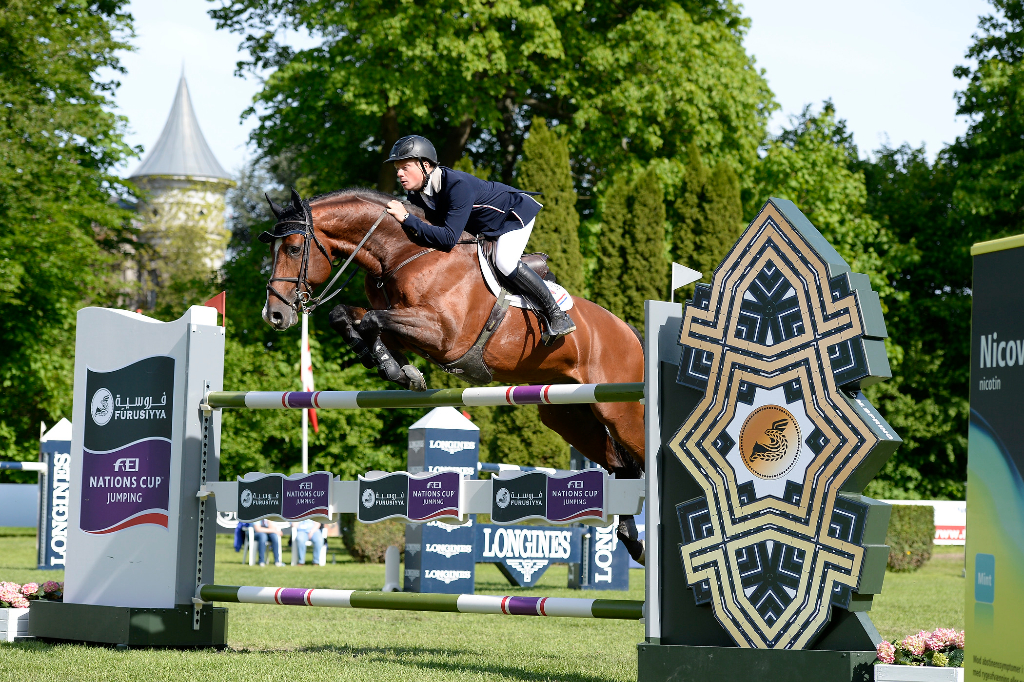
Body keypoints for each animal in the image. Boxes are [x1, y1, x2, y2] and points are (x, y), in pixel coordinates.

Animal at [264, 188, 647, 561]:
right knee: (622, 466)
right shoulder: (406, 324)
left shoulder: (442, 335)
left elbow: (372, 319)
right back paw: (632, 541)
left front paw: (395, 367)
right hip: (569, 416)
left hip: (620, 411)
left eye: (294, 248)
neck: (402, 253)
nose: (275, 315)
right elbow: (348, 315)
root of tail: (628, 332)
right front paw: (392, 365)